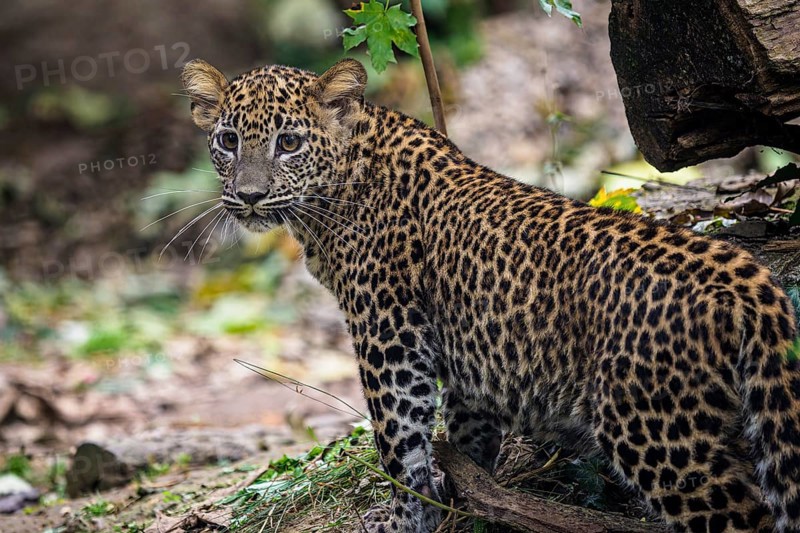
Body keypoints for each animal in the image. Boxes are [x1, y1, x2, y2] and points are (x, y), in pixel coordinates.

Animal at [181, 57, 800, 533]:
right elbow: (466, 433)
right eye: (228, 141)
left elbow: (399, 442)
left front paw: (407, 516)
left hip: (658, 428)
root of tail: (745, 278)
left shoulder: (390, 339)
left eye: (288, 142)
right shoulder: (466, 357)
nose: (249, 196)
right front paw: (455, 501)